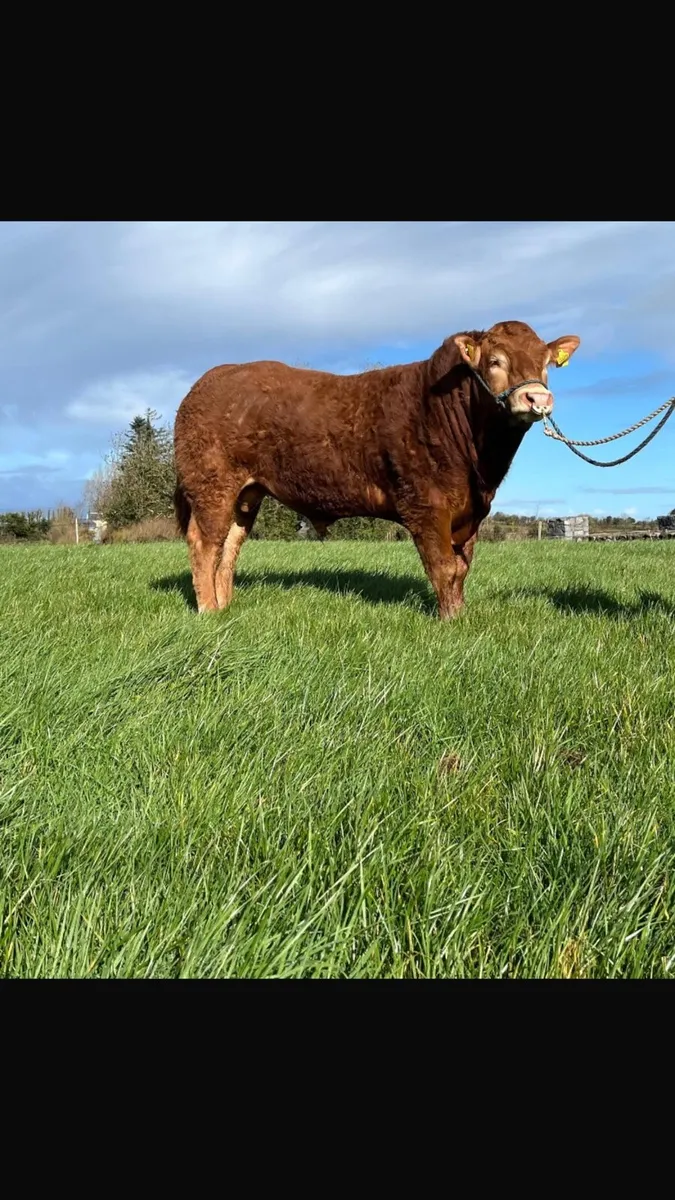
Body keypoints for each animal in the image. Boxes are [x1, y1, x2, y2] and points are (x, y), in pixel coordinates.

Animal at [173, 320, 581, 619]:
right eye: (495, 361)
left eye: (546, 363)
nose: (537, 398)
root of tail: (207, 381)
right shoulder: (425, 505)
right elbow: (444, 567)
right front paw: (450, 623)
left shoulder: (472, 512)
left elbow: (462, 569)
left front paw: (461, 614)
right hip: (212, 483)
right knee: (204, 542)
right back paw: (208, 610)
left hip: (246, 493)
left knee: (229, 545)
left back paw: (226, 605)